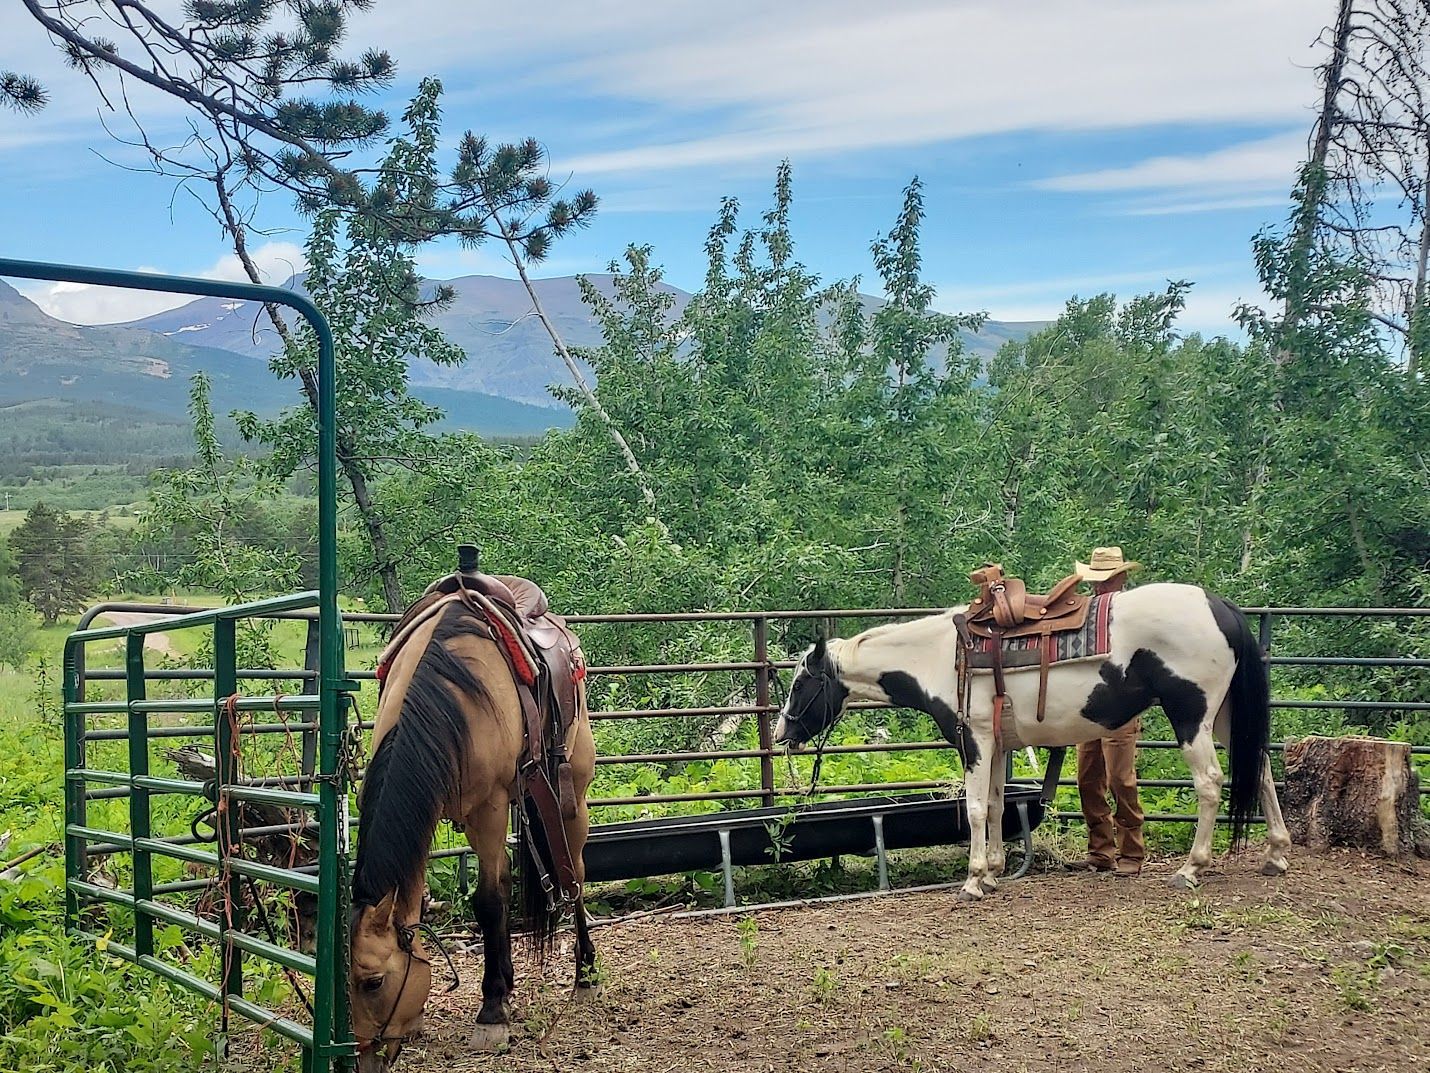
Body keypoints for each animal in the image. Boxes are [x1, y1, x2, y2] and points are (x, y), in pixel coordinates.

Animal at [351, 572, 597, 1070]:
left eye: (374, 982)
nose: (365, 1059)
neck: (448, 698)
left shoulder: (490, 808)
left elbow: (487, 901)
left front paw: (492, 1011)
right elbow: (491, 893)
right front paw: (500, 991)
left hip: (572, 795)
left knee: (575, 873)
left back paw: (585, 971)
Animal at [777, 583, 1292, 892]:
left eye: (801, 683)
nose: (783, 731)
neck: (940, 657)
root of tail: (1220, 607)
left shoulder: (974, 740)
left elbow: (976, 807)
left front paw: (973, 880)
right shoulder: (996, 744)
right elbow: (996, 803)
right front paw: (994, 872)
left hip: (1191, 715)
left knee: (1210, 783)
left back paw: (1191, 869)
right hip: (1223, 716)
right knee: (1262, 771)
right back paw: (1276, 855)